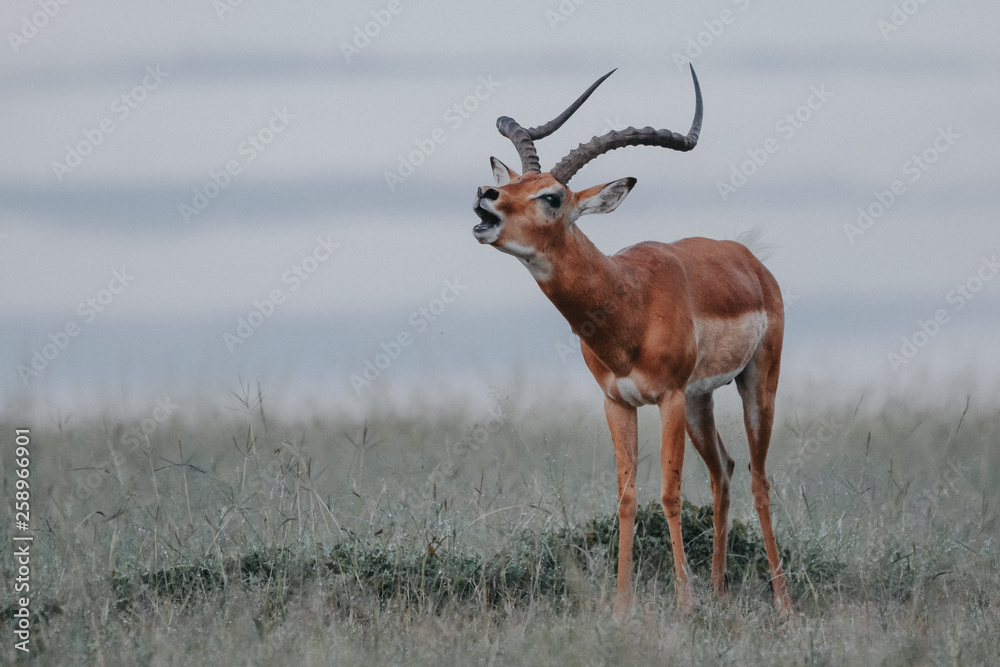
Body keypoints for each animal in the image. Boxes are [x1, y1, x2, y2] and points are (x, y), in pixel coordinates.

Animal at [472, 66, 792, 617]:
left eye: (552, 196)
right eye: (511, 182)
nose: (485, 195)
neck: (628, 303)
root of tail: (749, 260)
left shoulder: (667, 398)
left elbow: (668, 493)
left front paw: (683, 604)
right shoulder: (617, 401)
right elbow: (625, 496)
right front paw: (622, 607)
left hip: (754, 385)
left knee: (758, 476)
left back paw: (781, 603)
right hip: (701, 401)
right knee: (724, 470)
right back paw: (719, 589)